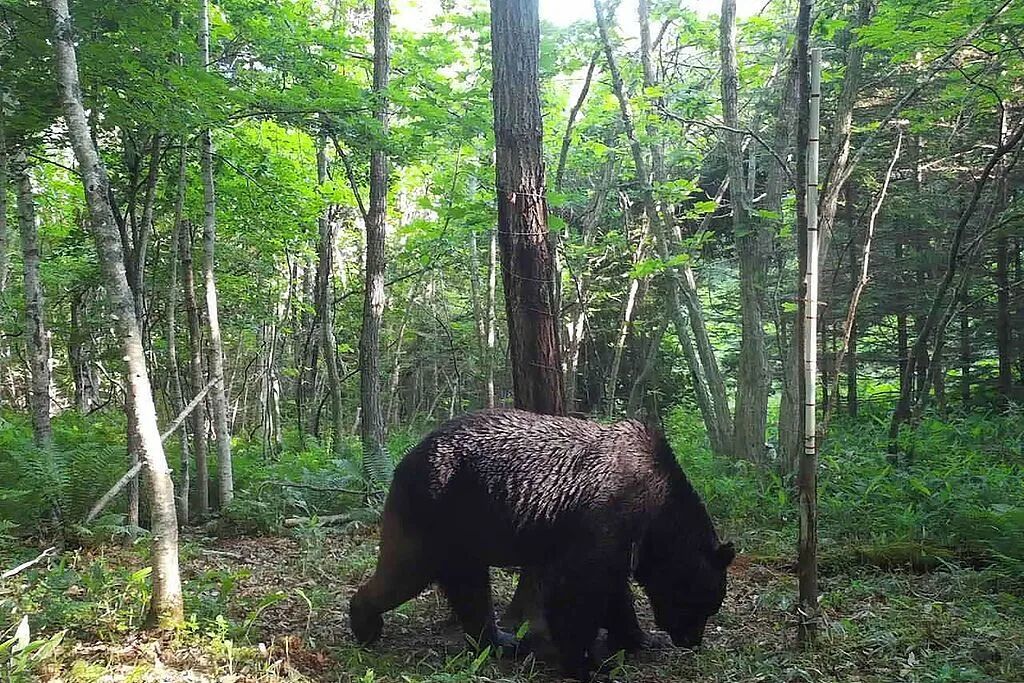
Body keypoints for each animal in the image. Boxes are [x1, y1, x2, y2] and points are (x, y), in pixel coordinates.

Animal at [349, 408, 734, 679]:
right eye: (704, 606)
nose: (692, 640)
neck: (657, 515)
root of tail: (405, 459)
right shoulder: (606, 516)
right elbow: (576, 589)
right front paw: (586, 664)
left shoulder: (619, 542)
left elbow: (613, 592)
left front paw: (639, 638)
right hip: (439, 511)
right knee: (407, 572)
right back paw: (365, 623)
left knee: (467, 588)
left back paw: (501, 640)